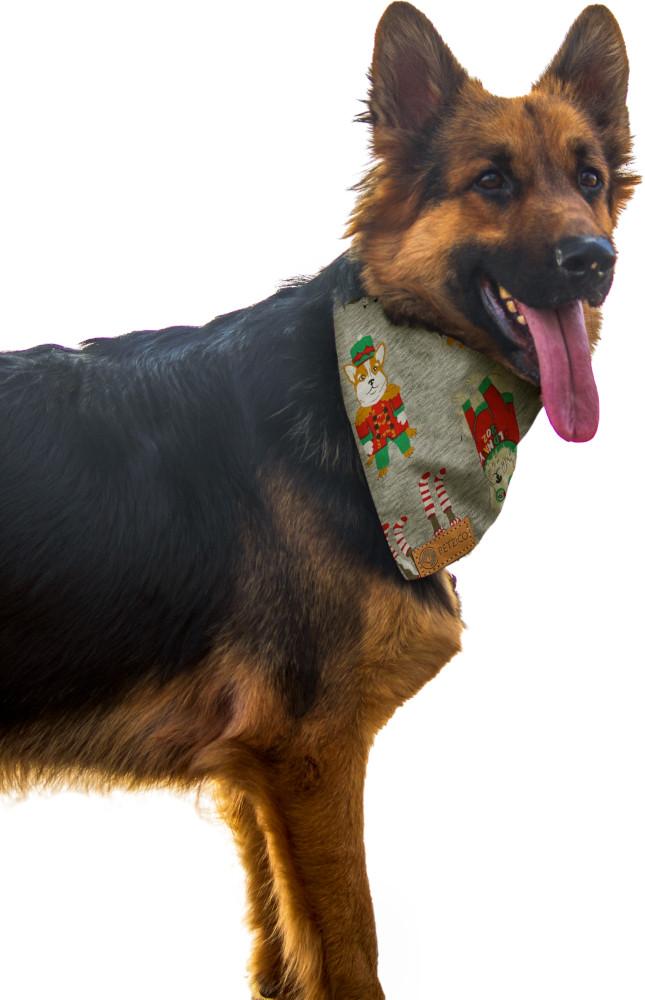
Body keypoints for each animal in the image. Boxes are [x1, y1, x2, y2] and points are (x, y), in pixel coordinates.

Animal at [0, 3, 632, 996]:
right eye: (490, 181)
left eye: (590, 178)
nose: (592, 259)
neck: (369, 397)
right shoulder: (309, 756)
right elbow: (348, 955)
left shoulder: (254, 777)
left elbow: (282, 956)